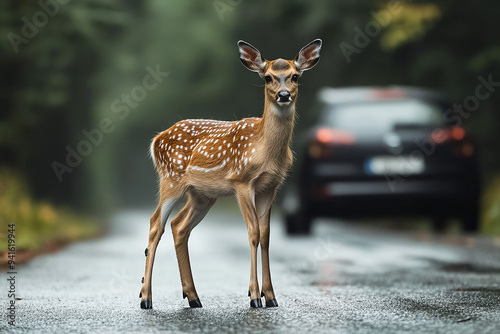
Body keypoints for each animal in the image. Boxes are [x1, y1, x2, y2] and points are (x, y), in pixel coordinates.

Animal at [139, 37, 322, 310]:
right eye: (268, 77)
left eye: (295, 76)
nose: (284, 95)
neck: (264, 149)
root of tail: (156, 139)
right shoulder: (242, 181)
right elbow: (253, 233)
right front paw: (254, 296)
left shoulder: (271, 186)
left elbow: (266, 235)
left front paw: (271, 296)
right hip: (171, 178)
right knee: (155, 224)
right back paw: (145, 298)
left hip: (202, 194)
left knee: (178, 226)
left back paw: (193, 297)